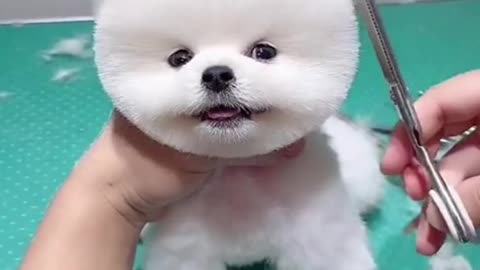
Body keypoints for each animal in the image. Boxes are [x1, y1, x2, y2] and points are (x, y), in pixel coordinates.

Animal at [94, 0, 386, 268]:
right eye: (180, 58)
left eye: (264, 51)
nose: (216, 74)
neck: (237, 172)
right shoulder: (186, 246)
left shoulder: (318, 234)